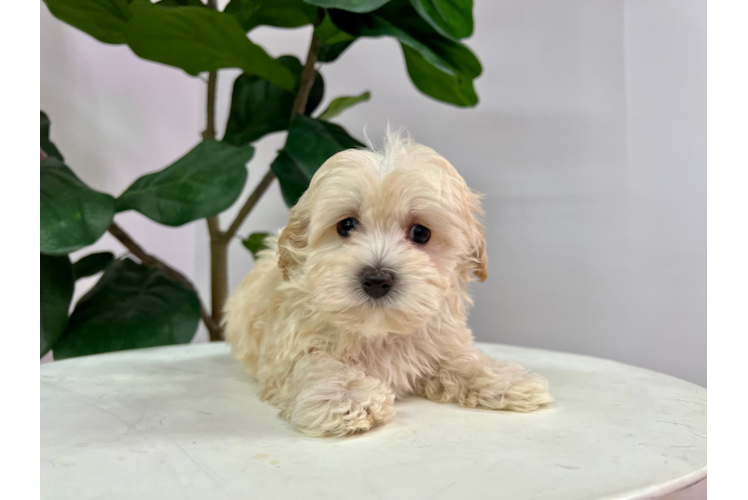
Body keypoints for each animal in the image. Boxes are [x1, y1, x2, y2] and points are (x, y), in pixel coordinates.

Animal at [222, 130, 548, 438]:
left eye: (421, 233)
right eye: (346, 226)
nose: (377, 279)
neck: (379, 329)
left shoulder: (440, 340)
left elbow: (462, 359)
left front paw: (505, 379)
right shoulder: (288, 350)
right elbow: (317, 364)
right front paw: (346, 395)